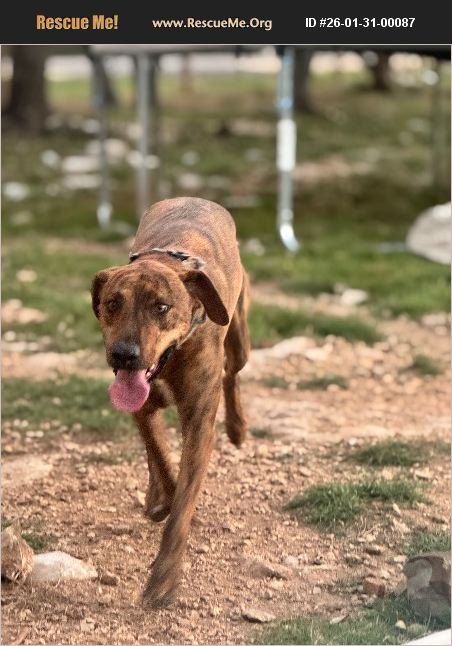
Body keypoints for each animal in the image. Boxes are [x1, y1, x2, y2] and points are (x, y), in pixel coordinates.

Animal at [91, 197, 250, 608]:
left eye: (161, 307)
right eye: (112, 304)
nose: (124, 355)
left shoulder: (199, 421)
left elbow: (182, 507)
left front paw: (163, 580)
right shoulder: (141, 406)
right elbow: (159, 454)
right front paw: (162, 495)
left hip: (239, 339)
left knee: (233, 374)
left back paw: (238, 427)